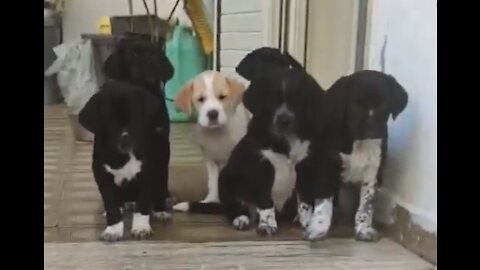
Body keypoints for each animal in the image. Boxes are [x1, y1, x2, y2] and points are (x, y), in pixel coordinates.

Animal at [79, 35, 174, 240]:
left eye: (156, 52)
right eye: (134, 53)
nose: (151, 61)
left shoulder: (152, 165)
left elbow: (144, 202)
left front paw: (141, 227)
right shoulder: (101, 173)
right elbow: (111, 204)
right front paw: (113, 229)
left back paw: (160, 208)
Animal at [172, 70, 249, 211]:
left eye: (222, 97)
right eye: (201, 99)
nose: (212, 113)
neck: (217, 133)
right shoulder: (211, 160)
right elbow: (213, 183)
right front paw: (211, 200)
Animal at [322, 69, 408, 240]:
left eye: (384, 104)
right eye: (355, 105)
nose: (371, 125)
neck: (359, 142)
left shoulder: (372, 174)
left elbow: (365, 206)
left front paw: (363, 228)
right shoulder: (328, 165)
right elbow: (323, 203)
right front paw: (317, 226)